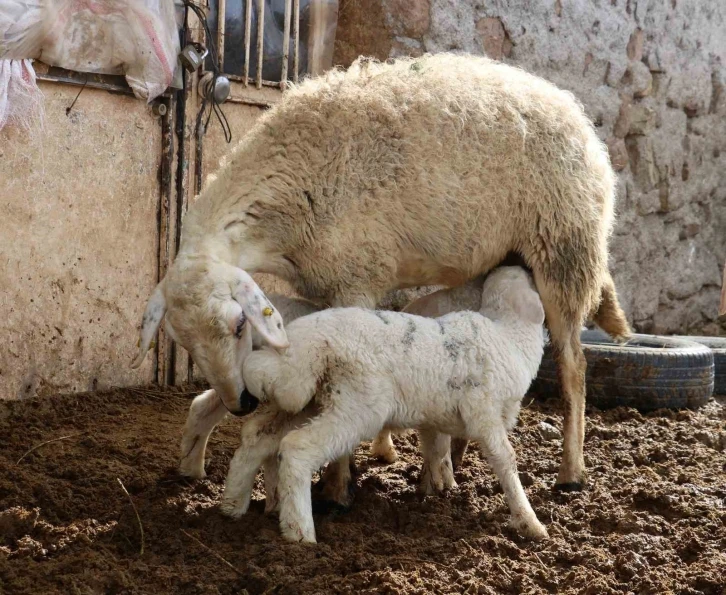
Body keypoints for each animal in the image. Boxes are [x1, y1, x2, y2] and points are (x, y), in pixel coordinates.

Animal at [225, 268, 548, 544]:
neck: (510, 337)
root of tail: (309, 345)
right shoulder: (485, 413)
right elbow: (507, 460)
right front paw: (530, 523)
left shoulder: (436, 416)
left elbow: (435, 450)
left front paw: (433, 490)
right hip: (358, 404)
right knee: (297, 448)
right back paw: (300, 532)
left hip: (305, 398)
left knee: (257, 435)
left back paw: (232, 505)